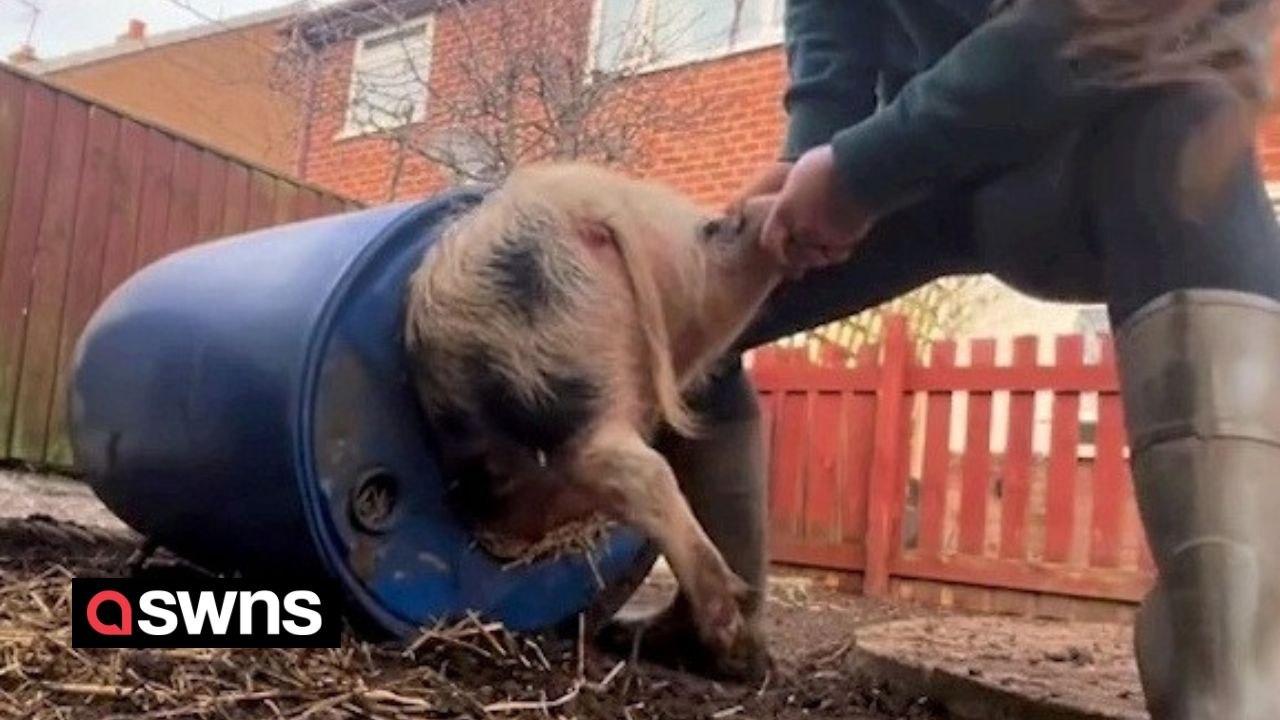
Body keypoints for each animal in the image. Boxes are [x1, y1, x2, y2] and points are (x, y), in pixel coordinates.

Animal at [403, 161, 781, 669]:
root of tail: (571, 205)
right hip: (688, 282)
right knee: (727, 266)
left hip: (555, 379)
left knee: (642, 474)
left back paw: (725, 627)